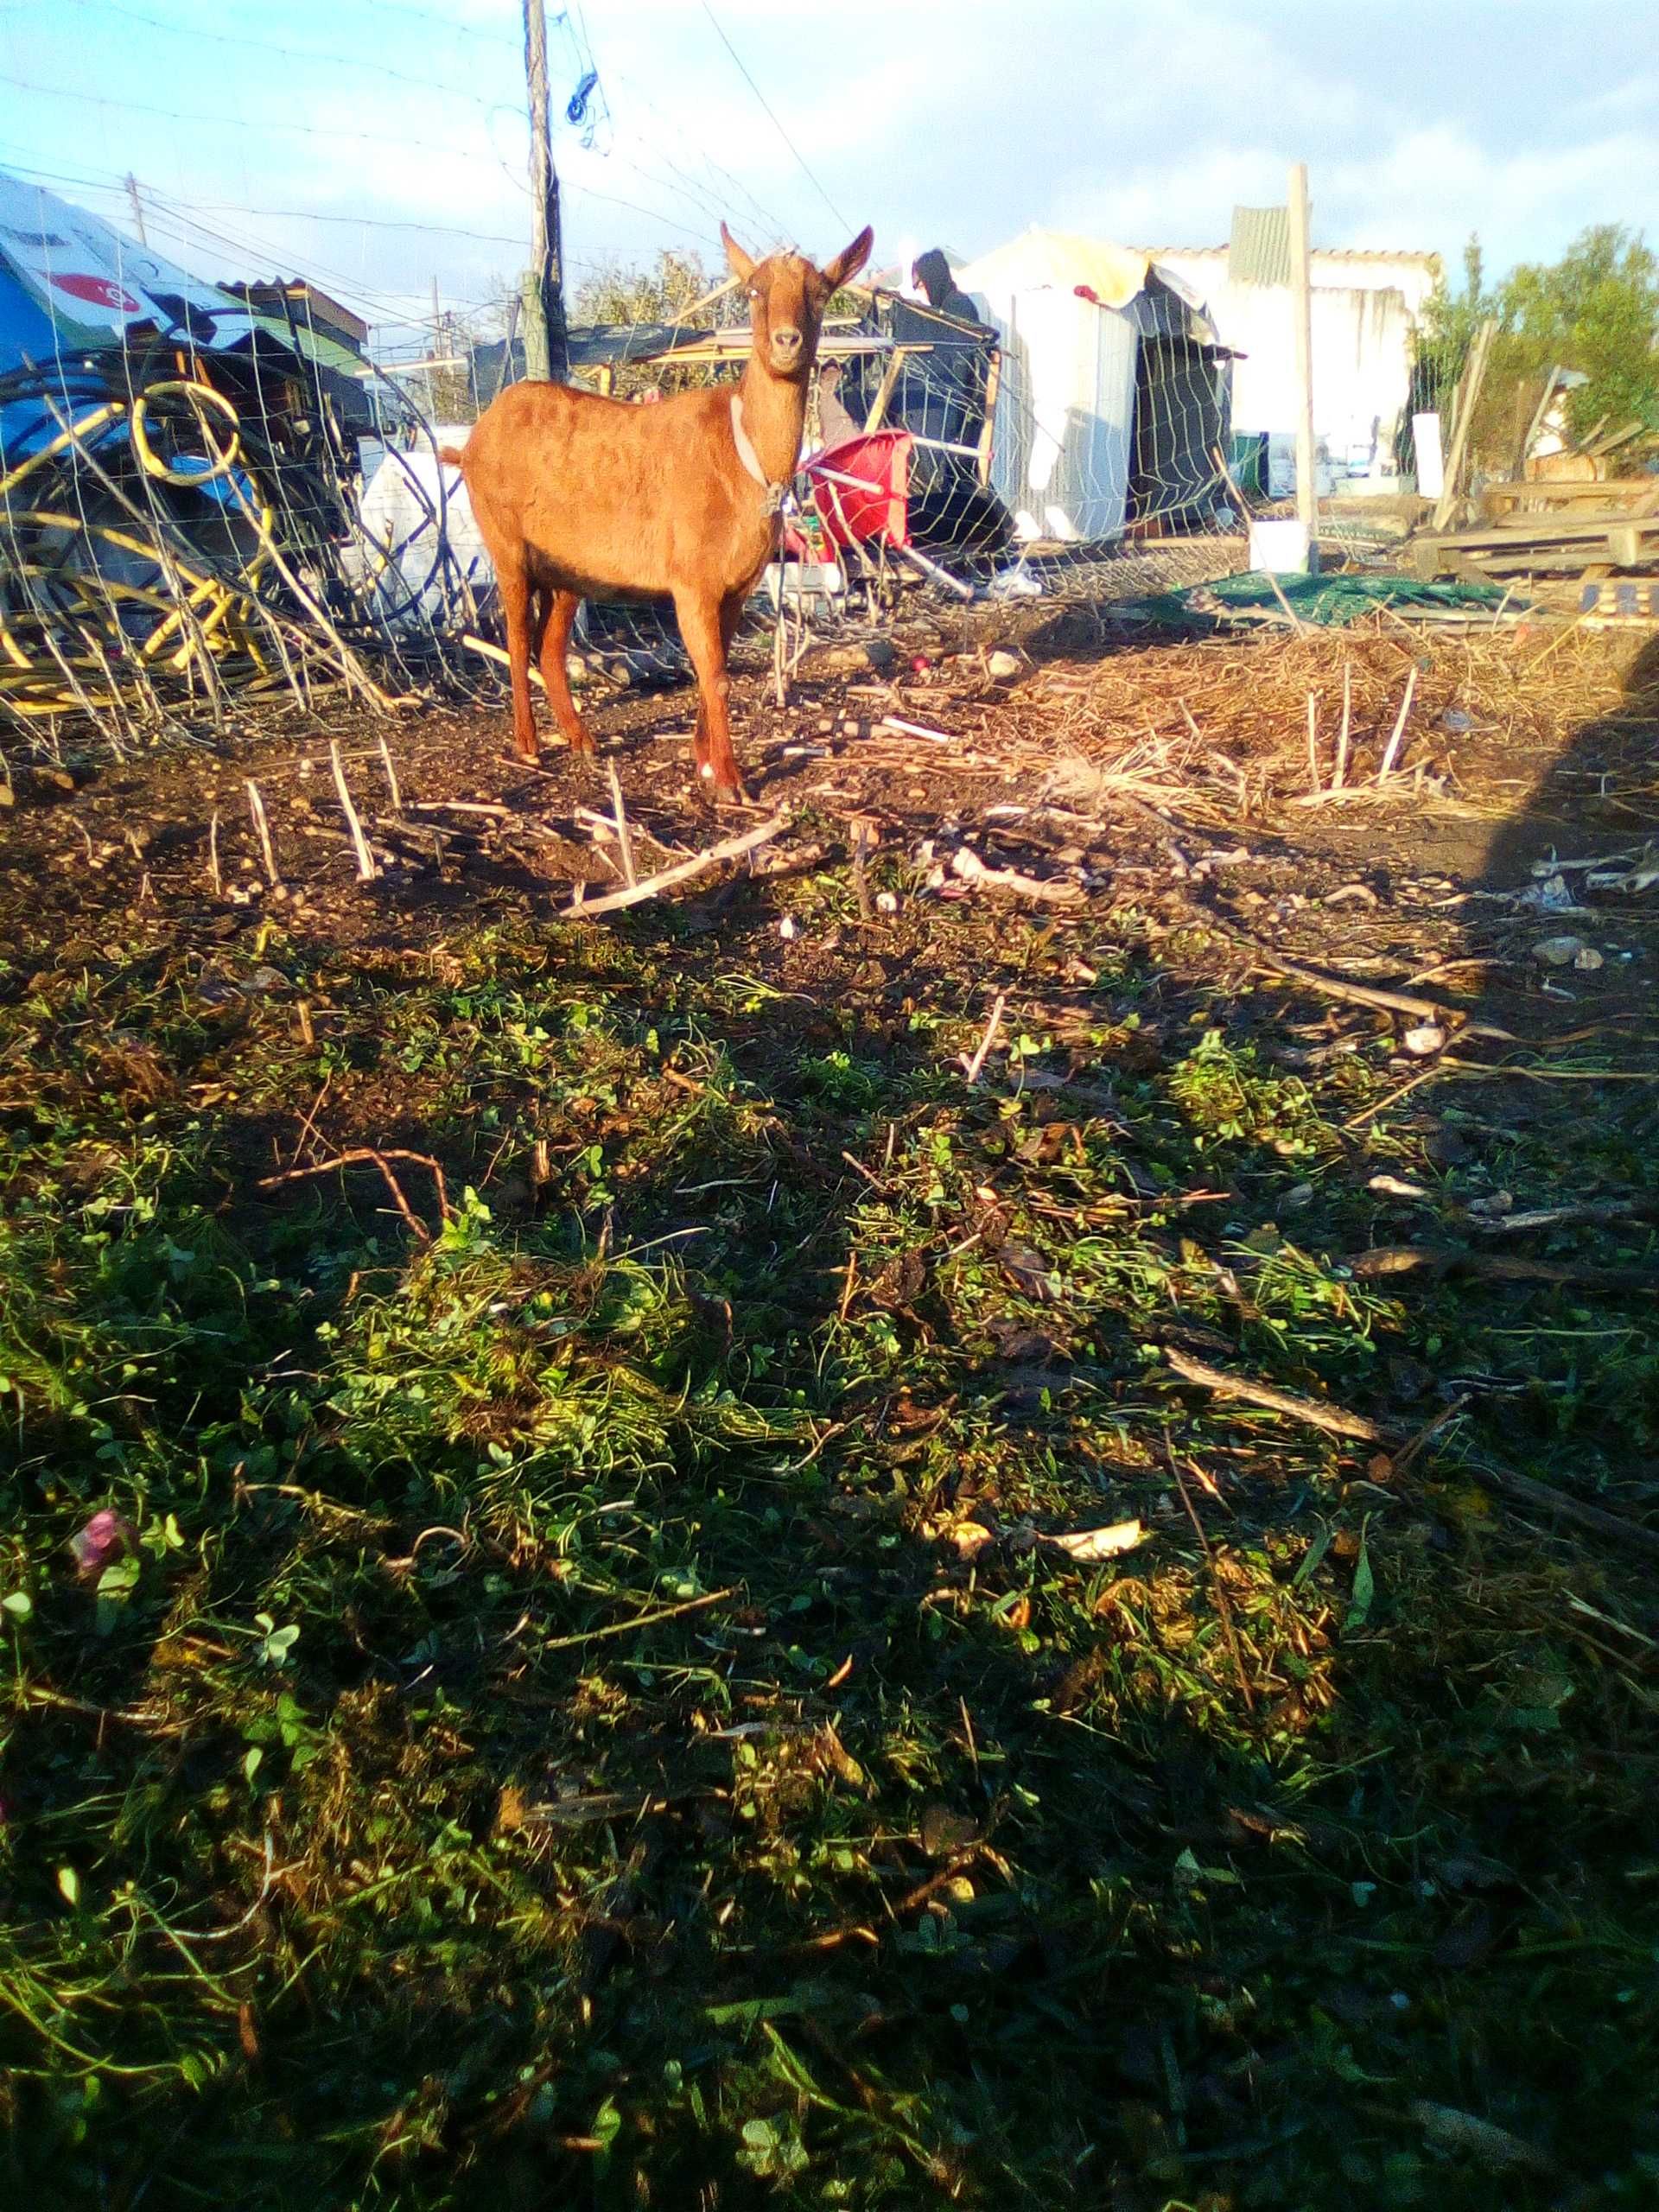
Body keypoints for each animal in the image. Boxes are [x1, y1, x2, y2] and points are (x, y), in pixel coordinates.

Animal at [448, 215, 875, 800]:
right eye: (754, 291)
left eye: (820, 291)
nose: (787, 342)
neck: (740, 451)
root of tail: (474, 438)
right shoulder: (691, 580)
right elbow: (716, 674)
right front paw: (730, 780)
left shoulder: (734, 587)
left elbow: (714, 668)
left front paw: (704, 762)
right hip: (505, 540)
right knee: (515, 638)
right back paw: (529, 744)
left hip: (567, 568)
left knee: (550, 648)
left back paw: (582, 740)